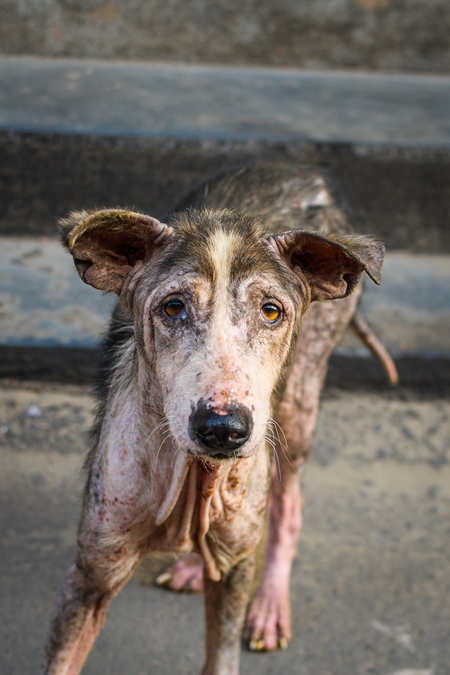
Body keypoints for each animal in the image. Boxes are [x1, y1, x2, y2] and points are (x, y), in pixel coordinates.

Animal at [41, 162, 394, 675]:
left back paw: (268, 605)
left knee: (287, 507)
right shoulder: (91, 576)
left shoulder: (235, 573)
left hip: (299, 404)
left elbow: (222, 655)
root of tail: (307, 172)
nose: (223, 429)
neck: (188, 475)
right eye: (173, 307)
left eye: (271, 311)